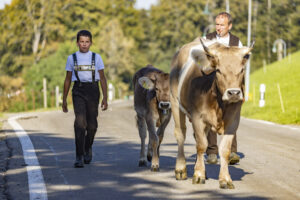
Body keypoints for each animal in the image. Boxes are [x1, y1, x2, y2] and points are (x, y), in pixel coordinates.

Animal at [169, 38, 253, 188]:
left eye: (242, 70)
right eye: (218, 70)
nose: (233, 93)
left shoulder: (233, 122)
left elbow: (225, 150)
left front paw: (225, 179)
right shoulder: (198, 118)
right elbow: (201, 146)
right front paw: (198, 175)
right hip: (175, 103)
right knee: (181, 135)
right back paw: (181, 169)